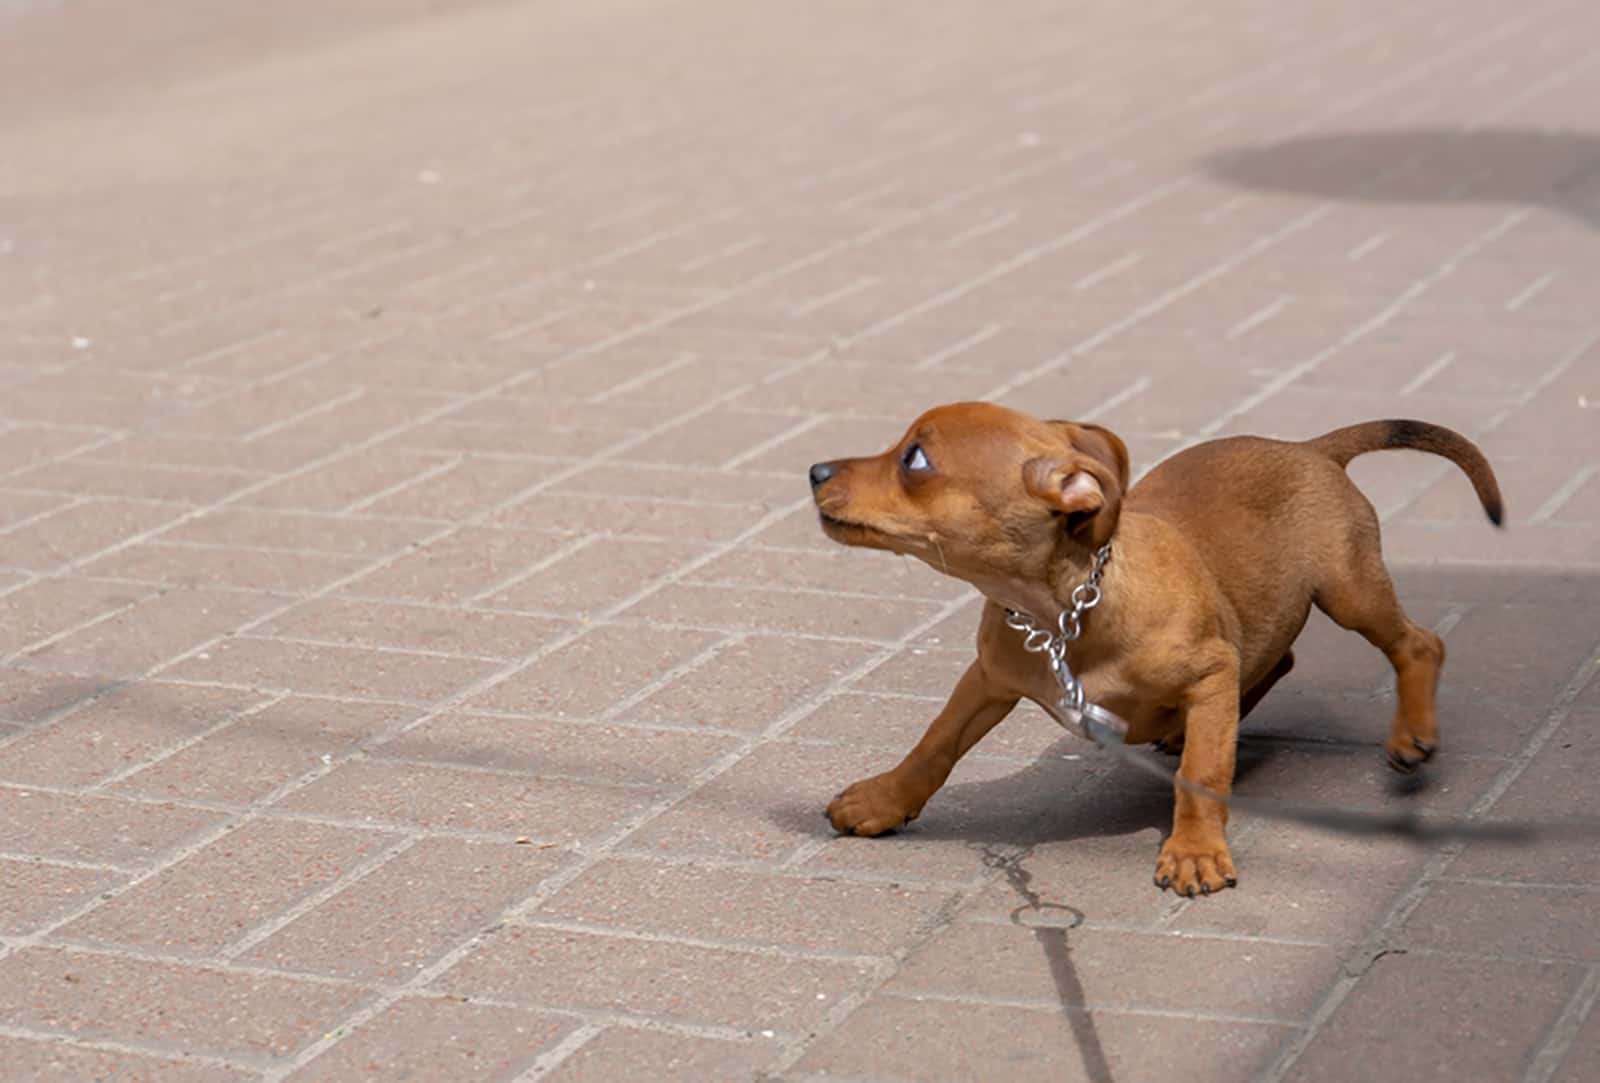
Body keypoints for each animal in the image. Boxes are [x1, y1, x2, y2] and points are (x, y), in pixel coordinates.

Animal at [812, 403, 1497, 895]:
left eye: (915, 459)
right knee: (1278, 659)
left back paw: (1411, 733)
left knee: (1418, 644)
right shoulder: (987, 679)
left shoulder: (1210, 673)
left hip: (1348, 589)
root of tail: (1310, 449)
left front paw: (1195, 852)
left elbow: (1202, 773)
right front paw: (883, 800)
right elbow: (935, 743)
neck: (1063, 616)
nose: (815, 470)